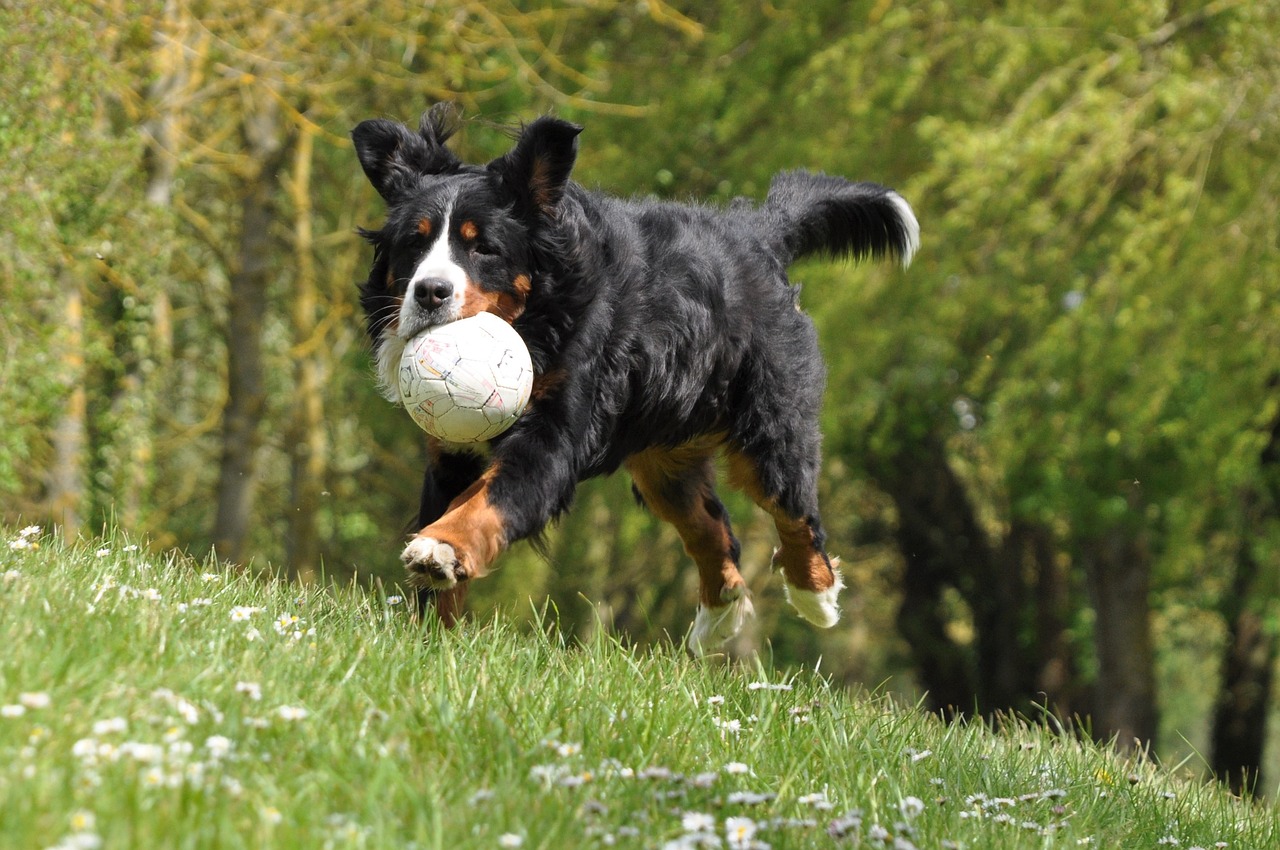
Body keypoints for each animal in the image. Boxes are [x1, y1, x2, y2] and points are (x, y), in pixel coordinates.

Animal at [353, 103, 921, 652]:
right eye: (414, 244)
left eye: (483, 247)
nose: (430, 292)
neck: (538, 320)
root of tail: (756, 233)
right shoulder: (453, 449)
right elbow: (450, 513)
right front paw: (433, 634)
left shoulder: (552, 438)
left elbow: (486, 501)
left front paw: (441, 548)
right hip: (664, 458)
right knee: (712, 529)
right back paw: (719, 617)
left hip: (771, 426)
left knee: (795, 512)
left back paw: (815, 596)